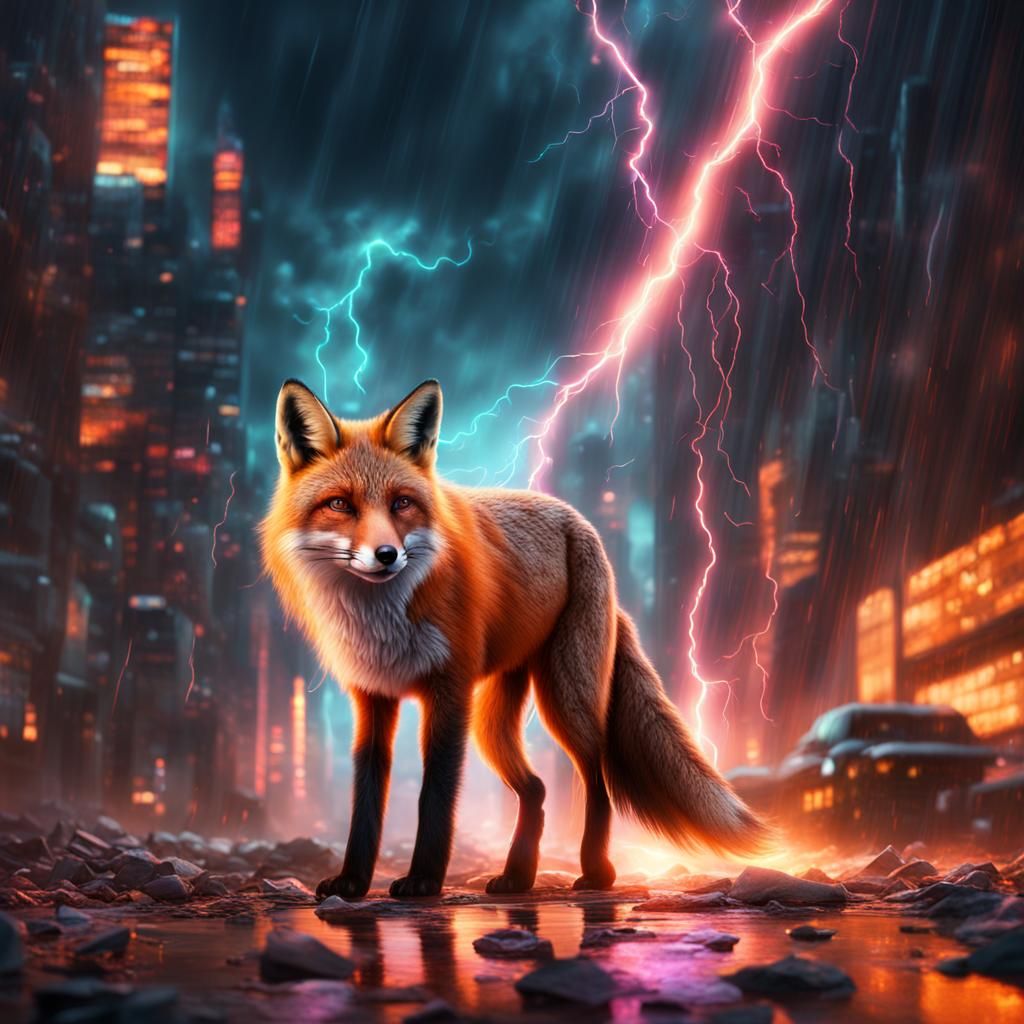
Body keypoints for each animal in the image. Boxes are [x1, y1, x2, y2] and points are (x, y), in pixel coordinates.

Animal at [262, 377, 770, 900]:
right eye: (340, 504)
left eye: (401, 502)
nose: (387, 555)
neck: (381, 622)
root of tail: (577, 521)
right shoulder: (372, 696)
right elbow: (366, 797)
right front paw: (353, 881)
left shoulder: (449, 690)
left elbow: (434, 793)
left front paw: (424, 879)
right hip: (493, 723)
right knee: (538, 789)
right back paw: (518, 875)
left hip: (564, 698)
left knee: (597, 777)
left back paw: (596, 872)